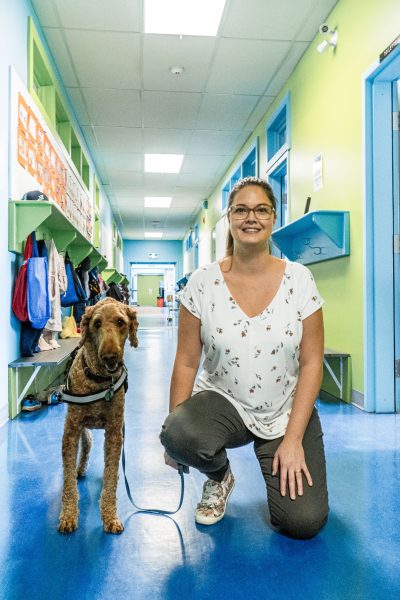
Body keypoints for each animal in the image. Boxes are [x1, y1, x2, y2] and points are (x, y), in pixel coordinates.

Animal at [57, 298, 139, 536]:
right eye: (97, 323)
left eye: (120, 322)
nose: (110, 357)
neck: (99, 380)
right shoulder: (70, 432)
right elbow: (68, 482)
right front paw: (68, 515)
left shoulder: (114, 432)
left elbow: (110, 477)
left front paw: (110, 517)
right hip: (81, 427)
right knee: (87, 445)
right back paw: (80, 469)